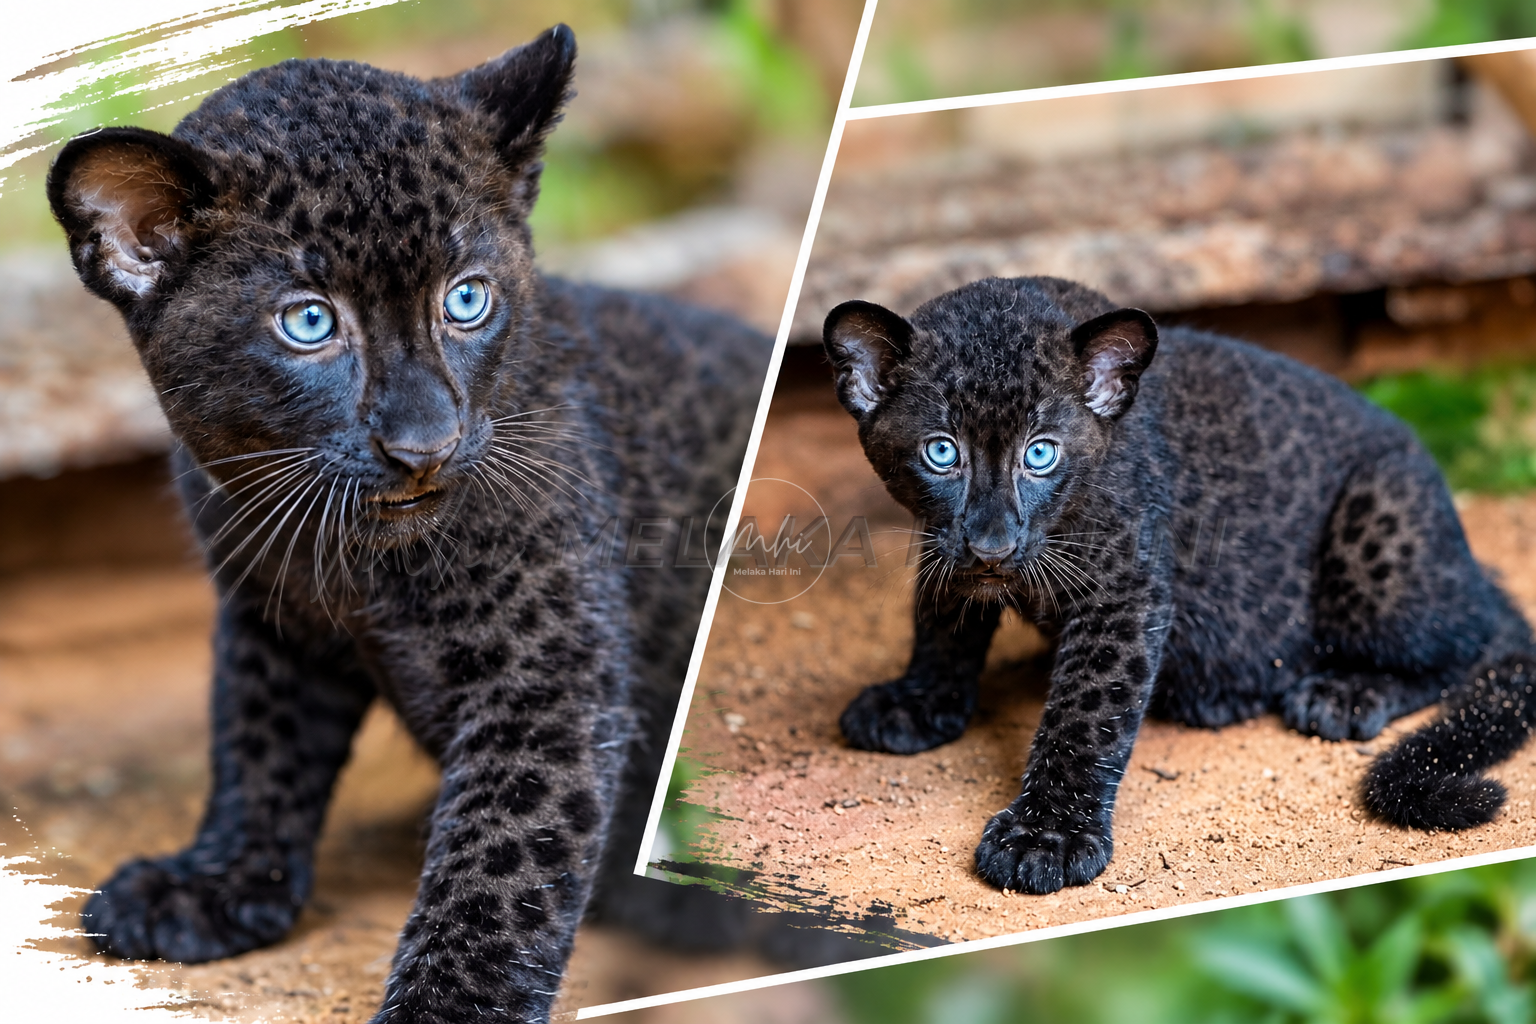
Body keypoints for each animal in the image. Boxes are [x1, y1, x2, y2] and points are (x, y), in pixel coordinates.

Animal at [48, 25, 778, 1023]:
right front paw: (217, 887)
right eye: (309, 323)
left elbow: (502, 860)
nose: (422, 446)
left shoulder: (542, 678)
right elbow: (258, 749)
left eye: (466, 299)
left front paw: (446, 1006)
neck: (345, 563)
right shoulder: (270, 619)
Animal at [822, 275, 1536, 897]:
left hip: (1378, 532)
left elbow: (1086, 711)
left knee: (1459, 645)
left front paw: (1046, 838)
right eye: (941, 452)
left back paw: (1342, 693)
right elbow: (941, 623)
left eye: (1040, 453)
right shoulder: (943, 545)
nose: (992, 546)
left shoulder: (1122, 592)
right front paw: (918, 700)